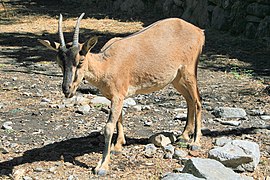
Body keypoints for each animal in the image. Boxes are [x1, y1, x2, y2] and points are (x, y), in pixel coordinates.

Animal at [39, 13, 205, 176]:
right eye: (60, 63)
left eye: (80, 61)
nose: (67, 90)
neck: (107, 64)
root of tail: (199, 32)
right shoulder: (116, 97)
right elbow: (119, 119)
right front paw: (118, 146)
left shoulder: (118, 96)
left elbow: (108, 127)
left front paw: (102, 167)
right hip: (176, 79)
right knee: (189, 100)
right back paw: (184, 136)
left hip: (189, 72)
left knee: (198, 101)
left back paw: (195, 143)